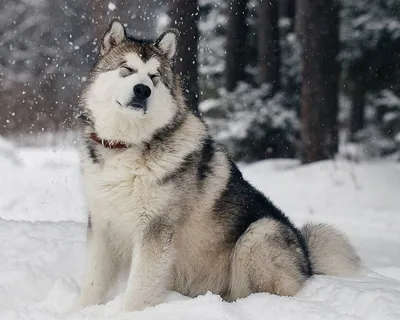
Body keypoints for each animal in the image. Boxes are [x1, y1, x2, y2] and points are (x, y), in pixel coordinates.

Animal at [75, 18, 360, 312]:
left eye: (155, 77)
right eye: (127, 69)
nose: (143, 89)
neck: (128, 146)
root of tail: (308, 260)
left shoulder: (155, 231)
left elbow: (139, 289)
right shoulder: (101, 225)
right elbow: (93, 282)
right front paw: (80, 310)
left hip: (259, 234)